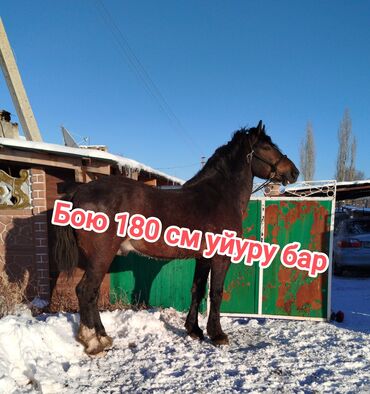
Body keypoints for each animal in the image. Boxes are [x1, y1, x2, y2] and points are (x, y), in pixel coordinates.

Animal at [53, 120, 300, 354]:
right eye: (267, 147)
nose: (294, 172)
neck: (219, 196)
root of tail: (79, 192)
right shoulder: (220, 256)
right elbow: (216, 292)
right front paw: (217, 335)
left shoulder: (203, 257)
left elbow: (197, 290)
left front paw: (194, 330)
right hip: (101, 256)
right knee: (86, 291)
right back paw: (93, 342)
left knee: (92, 293)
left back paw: (103, 337)